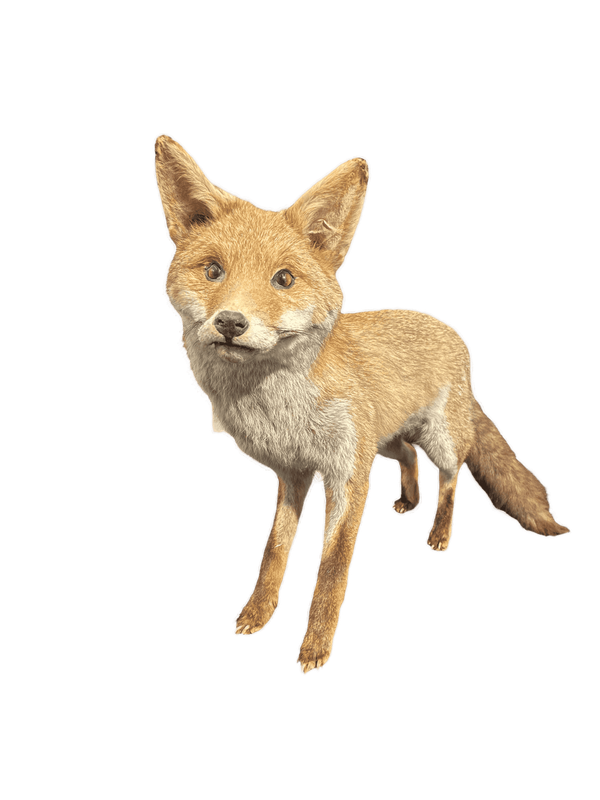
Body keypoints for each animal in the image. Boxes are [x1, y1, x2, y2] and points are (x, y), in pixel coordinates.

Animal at [153, 134, 570, 675]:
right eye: (212, 271)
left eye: (283, 280)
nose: (230, 322)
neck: (280, 408)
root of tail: (448, 329)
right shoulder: (294, 473)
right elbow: (274, 552)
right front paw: (257, 615)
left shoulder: (346, 474)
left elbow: (332, 568)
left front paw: (314, 648)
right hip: (387, 441)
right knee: (410, 459)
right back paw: (409, 501)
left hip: (436, 438)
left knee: (451, 476)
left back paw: (439, 532)